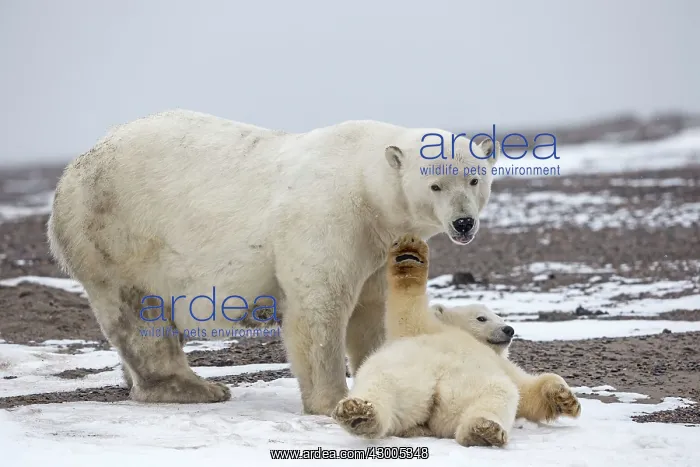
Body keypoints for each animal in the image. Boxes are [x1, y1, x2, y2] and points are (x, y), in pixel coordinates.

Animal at [46, 109, 501, 415]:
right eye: (435, 184)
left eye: (474, 178)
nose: (463, 222)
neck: (366, 187)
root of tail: (68, 176)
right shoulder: (330, 217)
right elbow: (319, 309)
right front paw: (331, 400)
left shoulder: (377, 242)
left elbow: (373, 310)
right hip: (116, 231)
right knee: (141, 312)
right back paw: (193, 387)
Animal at [331, 234, 581, 447]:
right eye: (482, 317)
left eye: (500, 316)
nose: (509, 329)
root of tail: (431, 412)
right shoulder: (421, 329)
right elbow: (407, 310)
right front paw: (409, 252)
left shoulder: (502, 366)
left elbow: (527, 393)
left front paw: (565, 398)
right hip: (398, 376)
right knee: (380, 388)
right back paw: (357, 412)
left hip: (460, 392)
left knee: (498, 395)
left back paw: (483, 429)